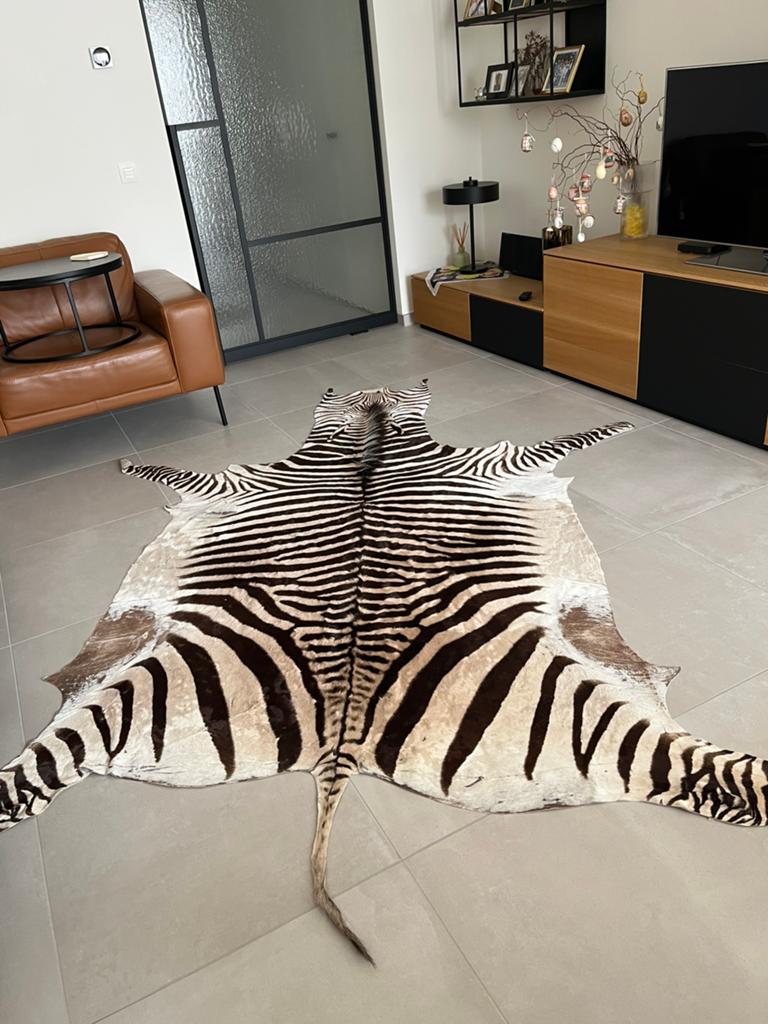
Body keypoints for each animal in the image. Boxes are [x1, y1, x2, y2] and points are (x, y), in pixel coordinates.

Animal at [1, 381, 766, 963]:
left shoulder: (252, 480)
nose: (375, 394)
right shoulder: (493, 460)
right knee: (709, 777)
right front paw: (623, 419)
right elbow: (571, 439)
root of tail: (338, 743)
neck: (370, 443)